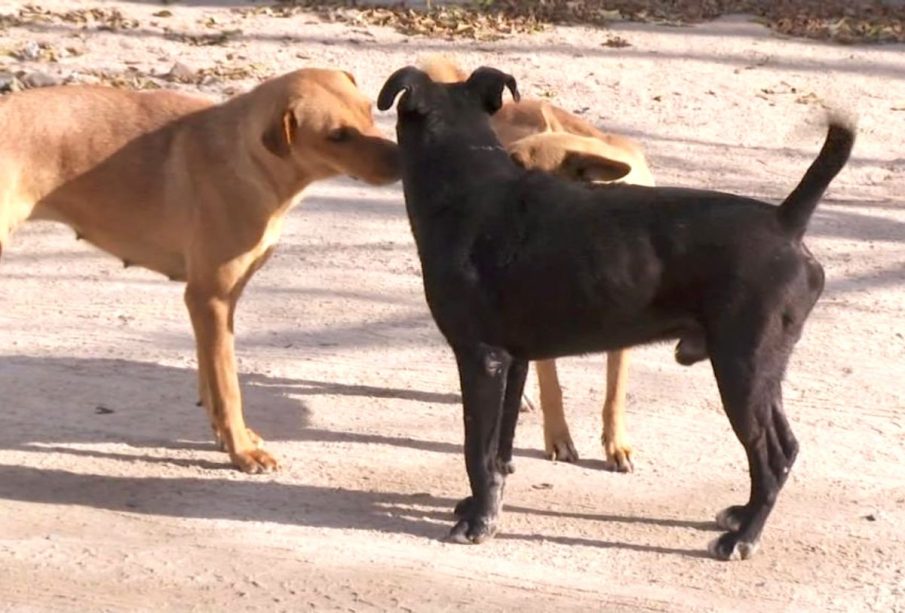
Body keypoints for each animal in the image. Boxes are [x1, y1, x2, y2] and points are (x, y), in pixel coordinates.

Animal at [0, 70, 400, 474]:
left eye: (370, 110)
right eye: (338, 135)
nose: (402, 161)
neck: (246, 157)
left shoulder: (220, 302)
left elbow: (209, 381)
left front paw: (229, 439)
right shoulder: (210, 299)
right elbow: (228, 388)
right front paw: (242, 451)